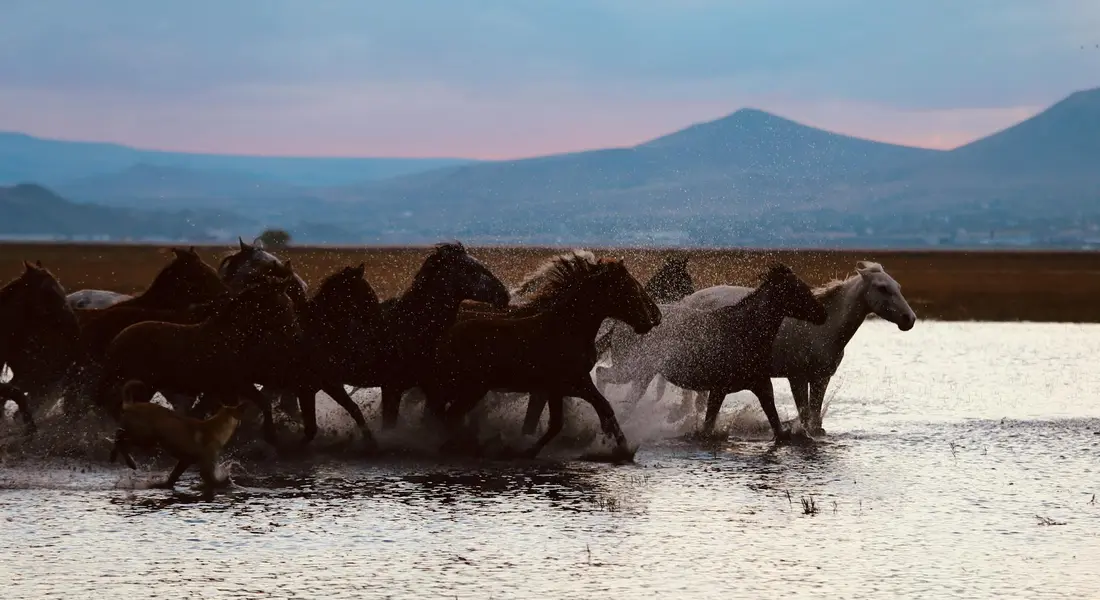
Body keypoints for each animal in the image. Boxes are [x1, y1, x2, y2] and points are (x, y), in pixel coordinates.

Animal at [93, 274, 302, 446]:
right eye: (282, 307)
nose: (296, 335)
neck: (232, 339)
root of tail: (117, 341)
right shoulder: (234, 385)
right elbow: (257, 405)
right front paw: (270, 437)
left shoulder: (231, 388)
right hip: (142, 384)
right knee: (118, 407)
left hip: (146, 386)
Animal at [425, 256, 661, 460]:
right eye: (626, 289)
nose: (651, 320)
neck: (570, 328)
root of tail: (445, 336)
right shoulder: (559, 386)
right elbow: (556, 423)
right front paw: (525, 451)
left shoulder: (574, 384)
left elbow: (605, 408)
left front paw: (623, 449)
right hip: (471, 388)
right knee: (449, 416)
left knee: (444, 415)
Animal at [594, 264, 827, 441]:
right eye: (798, 290)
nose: (823, 314)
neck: (745, 330)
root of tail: (617, 325)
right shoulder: (718, 388)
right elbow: (707, 426)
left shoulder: (761, 384)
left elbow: (775, 420)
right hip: (632, 369)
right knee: (601, 373)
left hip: (642, 375)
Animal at [678, 261, 916, 435]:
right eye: (882, 288)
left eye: (898, 287)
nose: (909, 319)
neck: (822, 328)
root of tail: (686, 302)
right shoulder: (797, 377)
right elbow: (804, 414)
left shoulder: (821, 378)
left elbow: (814, 416)